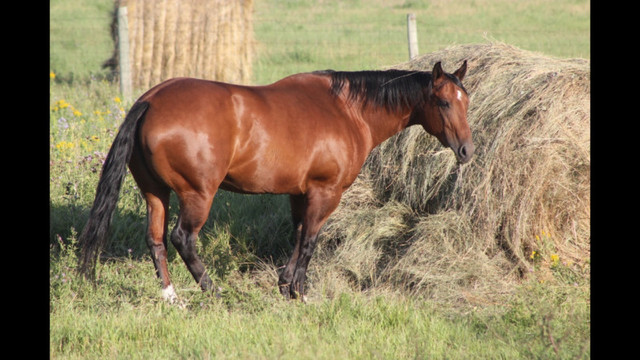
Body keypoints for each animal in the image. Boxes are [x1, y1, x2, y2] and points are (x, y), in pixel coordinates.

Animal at [77, 60, 472, 302]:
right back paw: (212, 290)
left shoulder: (299, 193)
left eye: (466, 101)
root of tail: (151, 99)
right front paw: (300, 292)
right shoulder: (325, 193)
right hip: (197, 194)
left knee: (156, 240)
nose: (467, 150)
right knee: (182, 239)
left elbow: (297, 236)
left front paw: (286, 287)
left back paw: (172, 298)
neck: (348, 111)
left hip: (155, 192)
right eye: (443, 102)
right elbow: (310, 242)